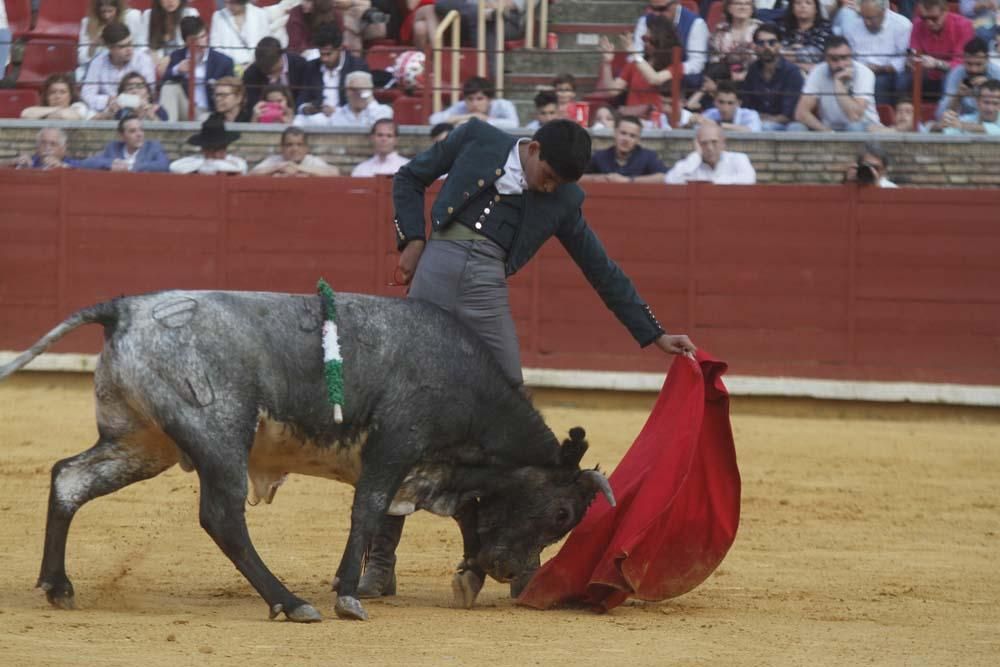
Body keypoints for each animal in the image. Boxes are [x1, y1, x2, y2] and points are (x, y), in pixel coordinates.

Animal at [0, 290, 612, 624]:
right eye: (561, 513)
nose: (514, 573)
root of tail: (124, 309)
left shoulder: (441, 470)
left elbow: (469, 514)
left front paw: (468, 575)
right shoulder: (396, 446)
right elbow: (368, 512)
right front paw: (347, 595)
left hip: (143, 443)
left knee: (69, 479)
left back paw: (58, 587)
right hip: (218, 436)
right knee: (222, 518)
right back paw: (290, 602)